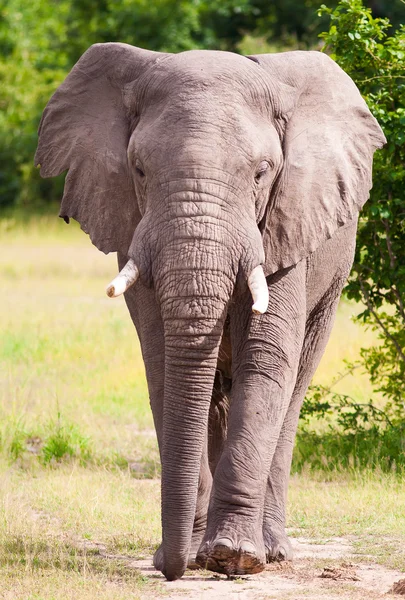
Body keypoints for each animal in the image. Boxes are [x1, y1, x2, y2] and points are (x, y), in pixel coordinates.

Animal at [35, 43, 386, 580]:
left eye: (262, 173)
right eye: (139, 170)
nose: (169, 566)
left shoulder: (285, 228)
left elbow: (266, 363)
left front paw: (234, 558)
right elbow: (163, 366)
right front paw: (192, 554)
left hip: (331, 286)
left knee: (293, 388)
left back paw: (271, 550)